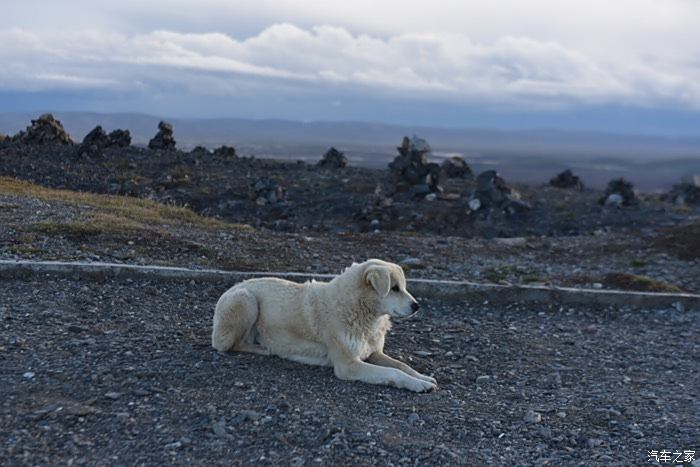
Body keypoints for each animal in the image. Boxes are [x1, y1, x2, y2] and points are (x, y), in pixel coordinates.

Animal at [211, 260, 434, 392]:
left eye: (403, 287)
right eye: (394, 288)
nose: (417, 306)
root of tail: (235, 285)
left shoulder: (373, 353)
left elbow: (402, 366)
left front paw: (423, 378)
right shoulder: (348, 366)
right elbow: (393, 373)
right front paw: (417, 384)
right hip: (246, 300)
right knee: (228, 345)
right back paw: (264, 349)